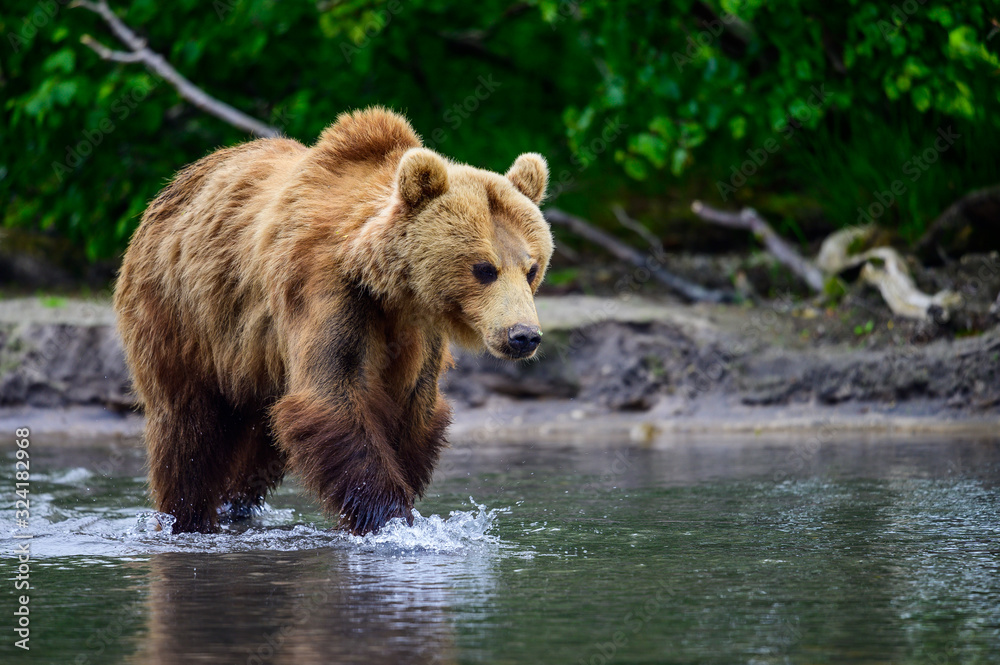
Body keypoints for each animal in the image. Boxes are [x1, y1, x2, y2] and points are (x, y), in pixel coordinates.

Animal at [113, 107, 553, 535]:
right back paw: (186, 516)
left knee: (259, 444)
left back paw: (235, 505)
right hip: (181, 315)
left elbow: (411, 406)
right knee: (188, 431)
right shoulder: (324, 292)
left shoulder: (417, 330)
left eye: (532, 268)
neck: (387, 287)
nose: (523, 335)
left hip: (255, 363)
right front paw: (391, 518)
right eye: (485, 268)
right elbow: (331, 398)